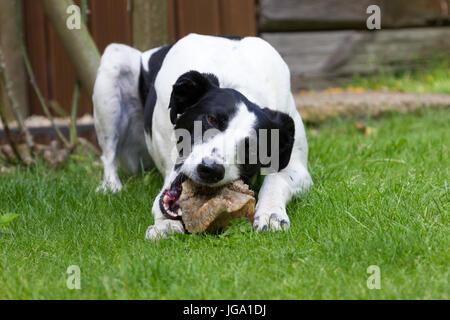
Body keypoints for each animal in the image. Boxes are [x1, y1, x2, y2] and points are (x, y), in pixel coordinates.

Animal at [93, 34, 312, 240]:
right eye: (211, 119)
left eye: (252, 149)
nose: (210, 169)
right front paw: (165, 224)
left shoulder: (298, 167)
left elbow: (277, 178)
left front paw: (271, 212)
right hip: (115, 62)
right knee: (108, 155)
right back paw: (111, 186)